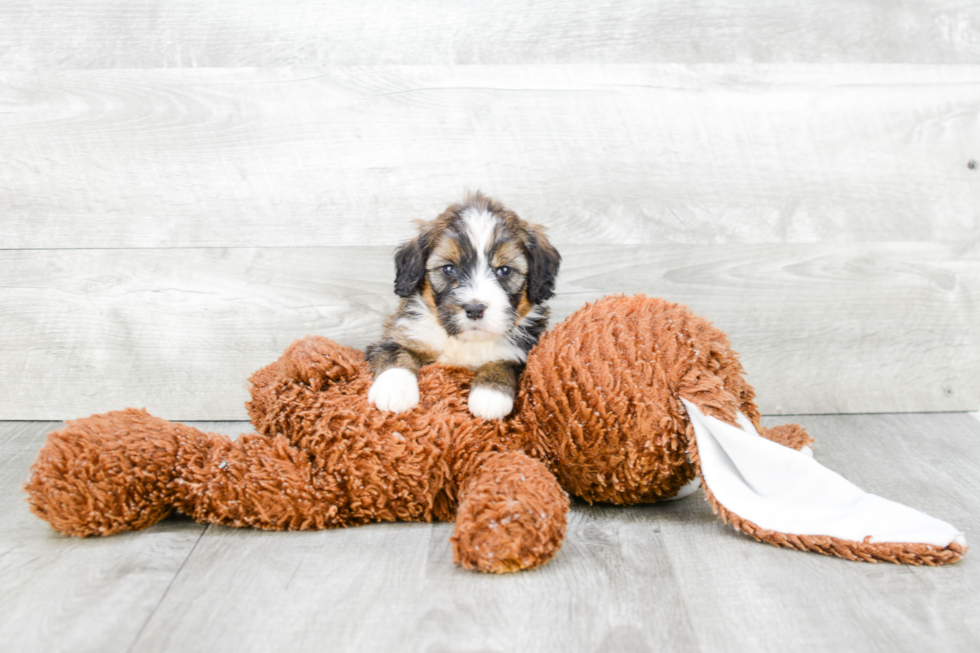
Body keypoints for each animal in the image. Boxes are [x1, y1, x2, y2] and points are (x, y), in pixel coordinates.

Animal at [368, 191, 564, 420]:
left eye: (504, 270)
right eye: (448, 268)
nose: (475, 309)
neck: (465, 342)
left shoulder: (523, 350)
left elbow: (504, 361)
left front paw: (490, 395)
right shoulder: (398, 335)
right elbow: (395, 354)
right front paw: (394, 390)